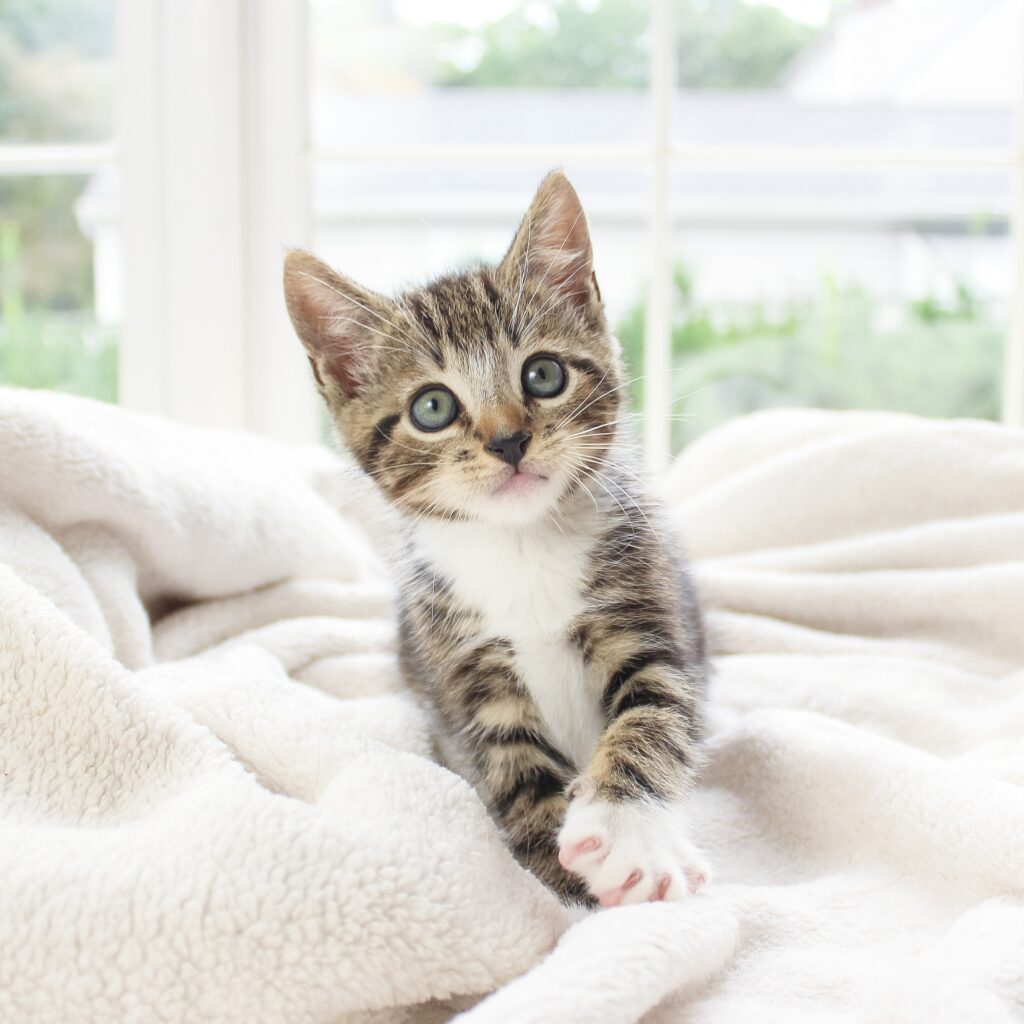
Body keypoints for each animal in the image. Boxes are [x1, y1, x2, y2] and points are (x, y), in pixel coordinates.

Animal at [284, 172, 708, 909]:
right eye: (432, 407)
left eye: (543, 374)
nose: (509, 440)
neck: (521, 548)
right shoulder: (463, 670)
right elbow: (514, 768)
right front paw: (565, 892)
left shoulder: (647, 614)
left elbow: (654, 714)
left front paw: (628, 835)